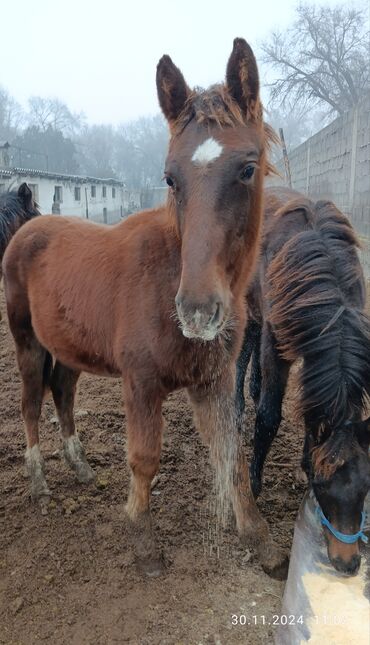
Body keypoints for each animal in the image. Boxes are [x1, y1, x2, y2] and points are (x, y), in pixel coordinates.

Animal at [2, 37, 286, 576]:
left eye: (247, 168)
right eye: (169, 178)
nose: (197, 312)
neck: (168, 275)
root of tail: (26, 228)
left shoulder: (214, 381)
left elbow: (232, 456)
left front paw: (261, 542)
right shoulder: (141, 381)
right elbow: (144, 458)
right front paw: (143, 540)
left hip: (69, 349)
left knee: (62, 392)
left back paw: (80, 466)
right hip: (27, 342)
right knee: (30, 403)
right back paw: (39, 482)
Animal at [236, 185, 370, 572]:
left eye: (367, 485)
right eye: (322, 485)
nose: (347, 562)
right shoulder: (276, 342)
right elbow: (268, 417)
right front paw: (254, 484)